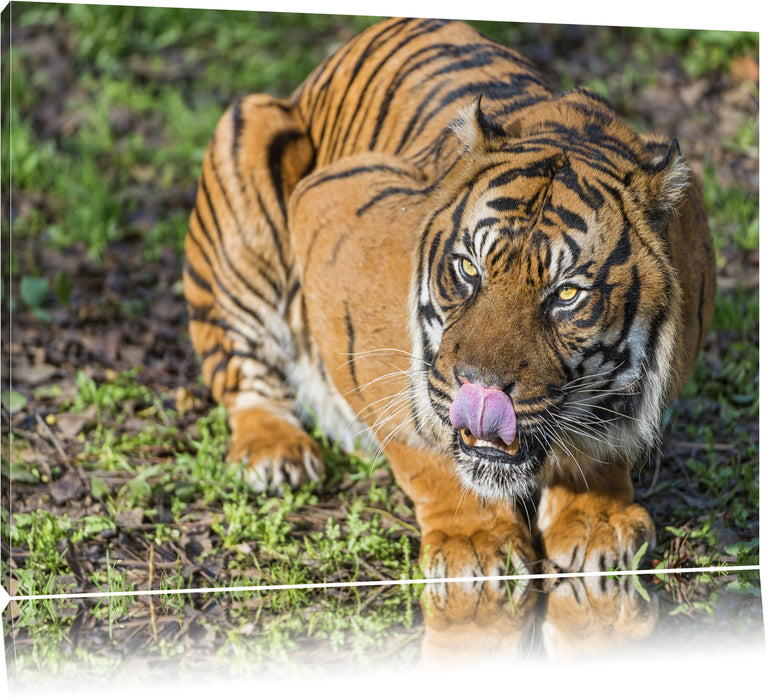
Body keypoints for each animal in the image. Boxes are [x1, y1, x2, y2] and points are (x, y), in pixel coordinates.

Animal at [183, 17, 716, 588]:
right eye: (468, 269)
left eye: (567, 293)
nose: (479, 390)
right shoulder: (334, 216)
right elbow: (423, 439)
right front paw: (476, 542)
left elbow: (601, 442)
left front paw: (597, 521)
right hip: (245, 158)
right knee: (240, 370)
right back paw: (275, 453)